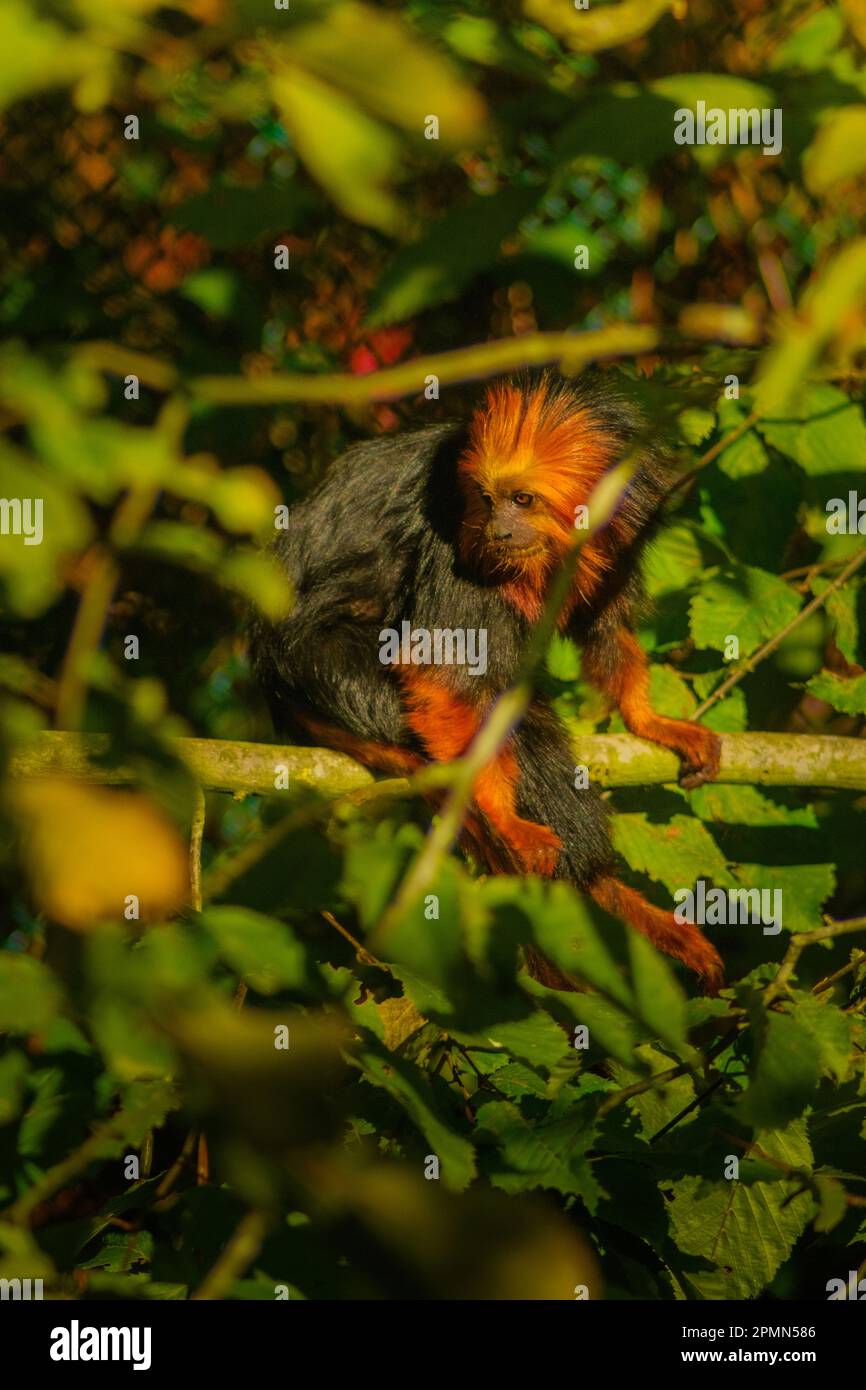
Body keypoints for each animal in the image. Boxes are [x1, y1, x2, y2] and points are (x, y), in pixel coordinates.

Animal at [248, 372, 722, 989]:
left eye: (522, 500)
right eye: (487, 499)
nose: (498, 530)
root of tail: (266, 663)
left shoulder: (621, 534)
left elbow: (606, 629)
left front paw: (652, 721)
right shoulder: (452, 540)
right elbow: (443, 667)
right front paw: (502, 817)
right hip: (328, 667)